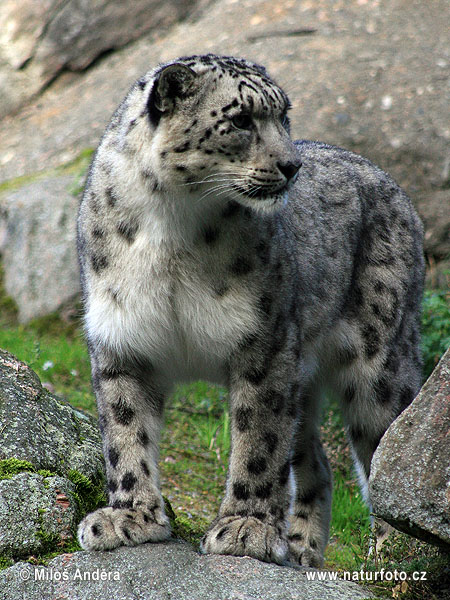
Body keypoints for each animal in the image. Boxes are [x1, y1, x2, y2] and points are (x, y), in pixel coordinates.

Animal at [75, 52, 424, 568]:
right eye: (241, 119)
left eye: (284, 115)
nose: (292, 165)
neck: (170, 225)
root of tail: (394, 186)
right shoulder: (122, 339)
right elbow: (124, 430)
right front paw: (128, 516)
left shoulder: (265, 341)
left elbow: (259, 440)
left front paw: (246, 528)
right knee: (316, 462)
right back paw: (301, 551)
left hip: (380, 363)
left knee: (390, 451)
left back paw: (393, 558)